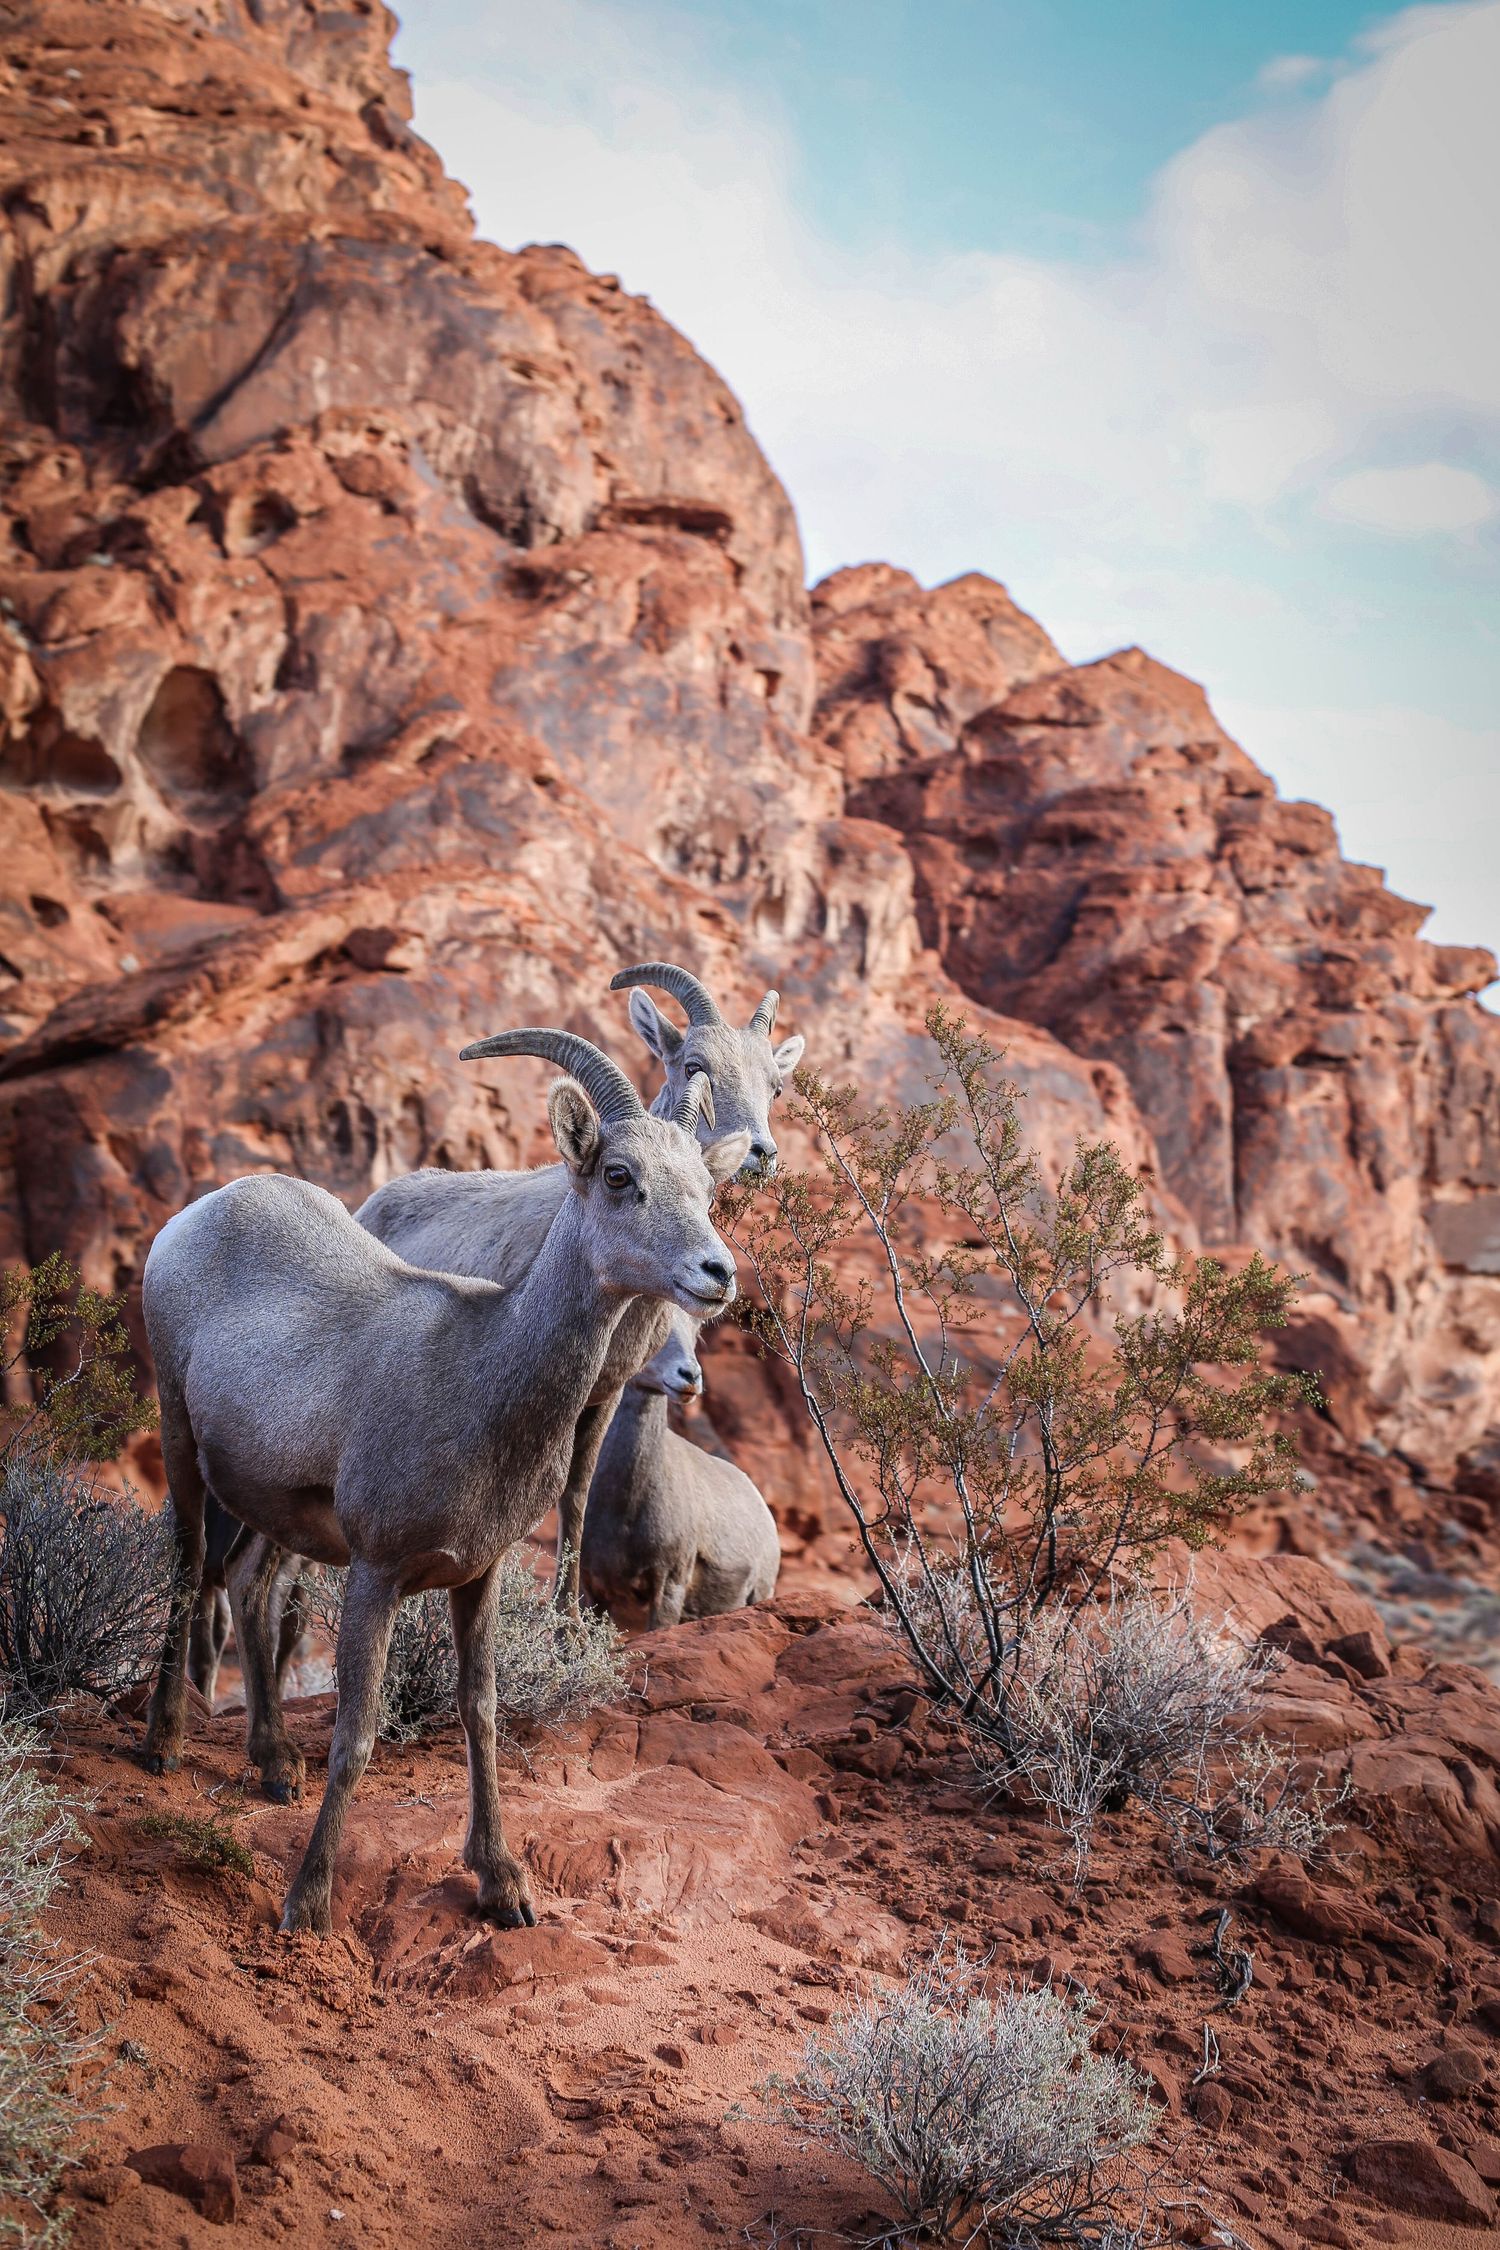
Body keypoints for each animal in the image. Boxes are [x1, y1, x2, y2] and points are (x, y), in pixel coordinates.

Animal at [141, 1032, 749, 1935]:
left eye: (708, 1189)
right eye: (618, 1175)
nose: (716, 1272)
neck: (478, 1378)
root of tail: (202, 1213)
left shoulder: (478, 1575)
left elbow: (482, 1712)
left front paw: (503, 1887)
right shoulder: (378, 1572)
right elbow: (357, 1735)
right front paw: (307, 1901)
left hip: (270, 1505)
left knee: (248, 1584)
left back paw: (274, 1764)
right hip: (181, 1440)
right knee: (188, 1569)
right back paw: (164, 1743)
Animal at [581, 1308, 780, 1631]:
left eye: (696, 1329)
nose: (690, 1376)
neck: (622, 1508)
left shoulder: (669, 1585)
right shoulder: (592, 1589)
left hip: (759, 1593)